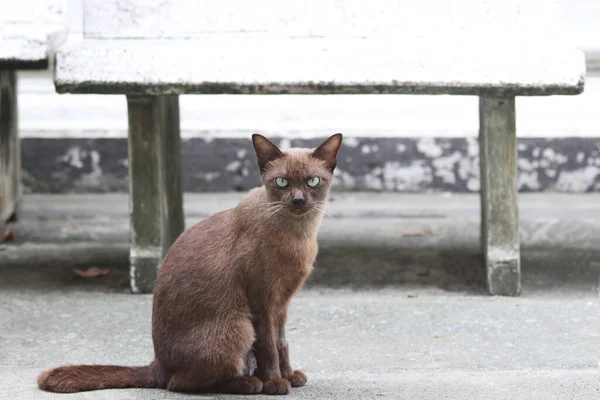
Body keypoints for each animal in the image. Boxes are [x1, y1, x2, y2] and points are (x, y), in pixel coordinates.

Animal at [38, 134, 342, 394]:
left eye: (313, 181)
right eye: (282, 183)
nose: (298, 200)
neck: (299, 235)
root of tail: (158, 364)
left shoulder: (282, 303)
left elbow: (282, 343)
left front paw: (290, 376)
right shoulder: (262, 302)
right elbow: (268, 347)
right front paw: (276, 383)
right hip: (239, 327)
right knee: (179, 383)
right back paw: (249, 383)